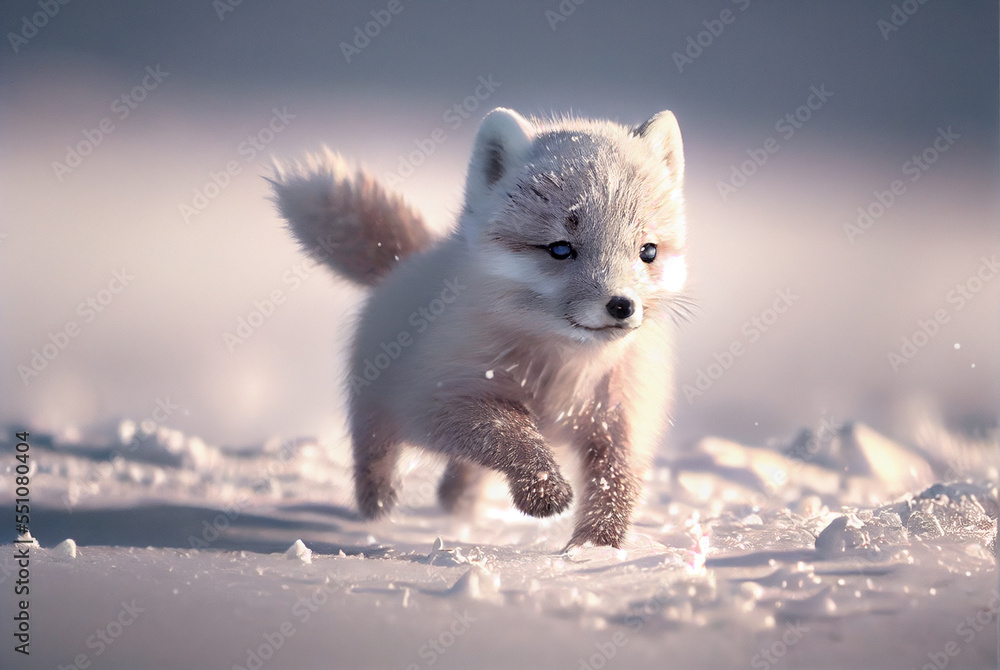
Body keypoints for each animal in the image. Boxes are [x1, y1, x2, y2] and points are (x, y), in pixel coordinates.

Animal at [269, 107, 690, 548]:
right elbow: (511, 434)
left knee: (463, 476)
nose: (621, 306)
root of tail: (410, 261)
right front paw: (545, 491)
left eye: (647, 251)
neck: (563, 373)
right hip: (375, 410)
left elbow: (616, 487)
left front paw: (595, 550)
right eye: (560, 248)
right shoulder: (439, 400)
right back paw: (378, 510)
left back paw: (457, 504)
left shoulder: (623, 422)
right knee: (376, 458)